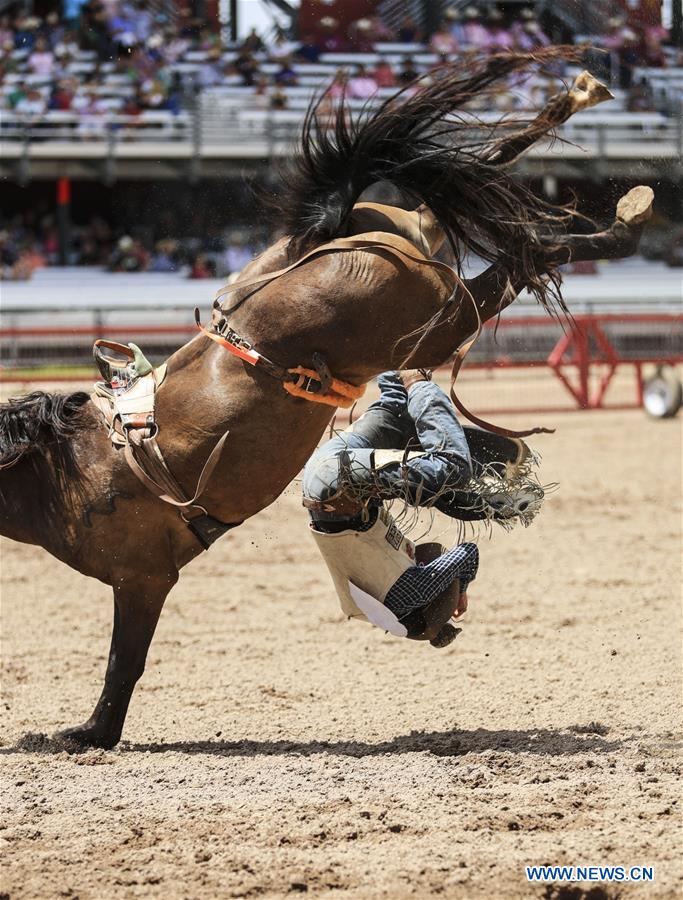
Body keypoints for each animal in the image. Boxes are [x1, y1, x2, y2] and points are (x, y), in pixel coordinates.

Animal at [0, 52, 656, 748]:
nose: (443, 626)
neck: (70, 472)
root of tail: (320, 240)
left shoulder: (142, 578)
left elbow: (124, 660)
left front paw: (87, 733)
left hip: (441, 316)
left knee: (531, 253)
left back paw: (624, 217)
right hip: (411, 244)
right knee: (481, 181)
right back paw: (583, 103)